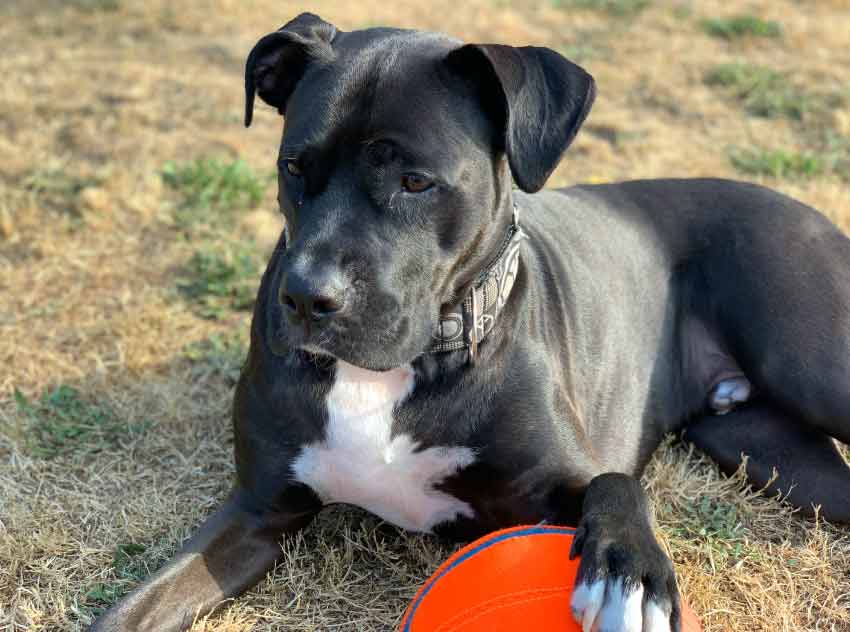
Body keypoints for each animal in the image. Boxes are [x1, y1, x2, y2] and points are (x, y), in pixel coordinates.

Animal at [93, 14, 848, 632]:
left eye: (416, 182)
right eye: (293, 167)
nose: (306, 298)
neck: (401, 367)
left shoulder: (565, 479)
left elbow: (616, 483)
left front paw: (629, 578)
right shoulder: (255, 513)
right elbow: (134, 609)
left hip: (810, 361)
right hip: (772, 452)